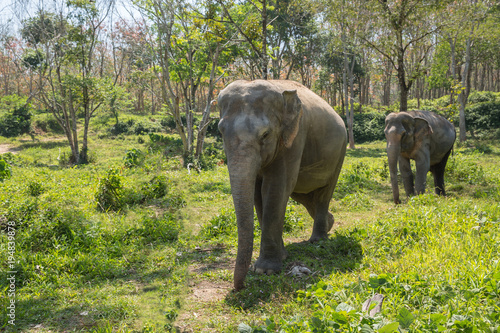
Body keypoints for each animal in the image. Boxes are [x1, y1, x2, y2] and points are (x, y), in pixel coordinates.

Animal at [219, 79, 348, 290]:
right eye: (220, 131)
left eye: (265, 134)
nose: (240, 287)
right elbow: (258, 192)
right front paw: (281, 257)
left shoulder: (295, 137)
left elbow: (276, 187)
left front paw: (266, 270)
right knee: (304, 194)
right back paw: (330, 223)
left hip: (340, 153)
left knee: (323, 193)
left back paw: (318, 240)